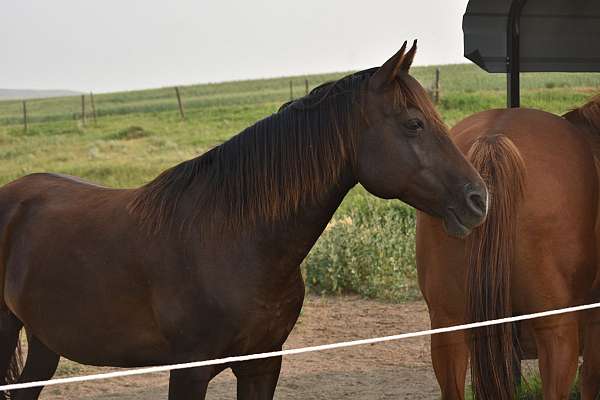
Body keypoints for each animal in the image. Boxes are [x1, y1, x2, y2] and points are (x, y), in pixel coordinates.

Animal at [0, 41, 488, 400]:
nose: (478, 199)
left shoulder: (262, 364)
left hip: (45, 341)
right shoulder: (190, 371)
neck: (236, 242)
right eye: (414, 124)